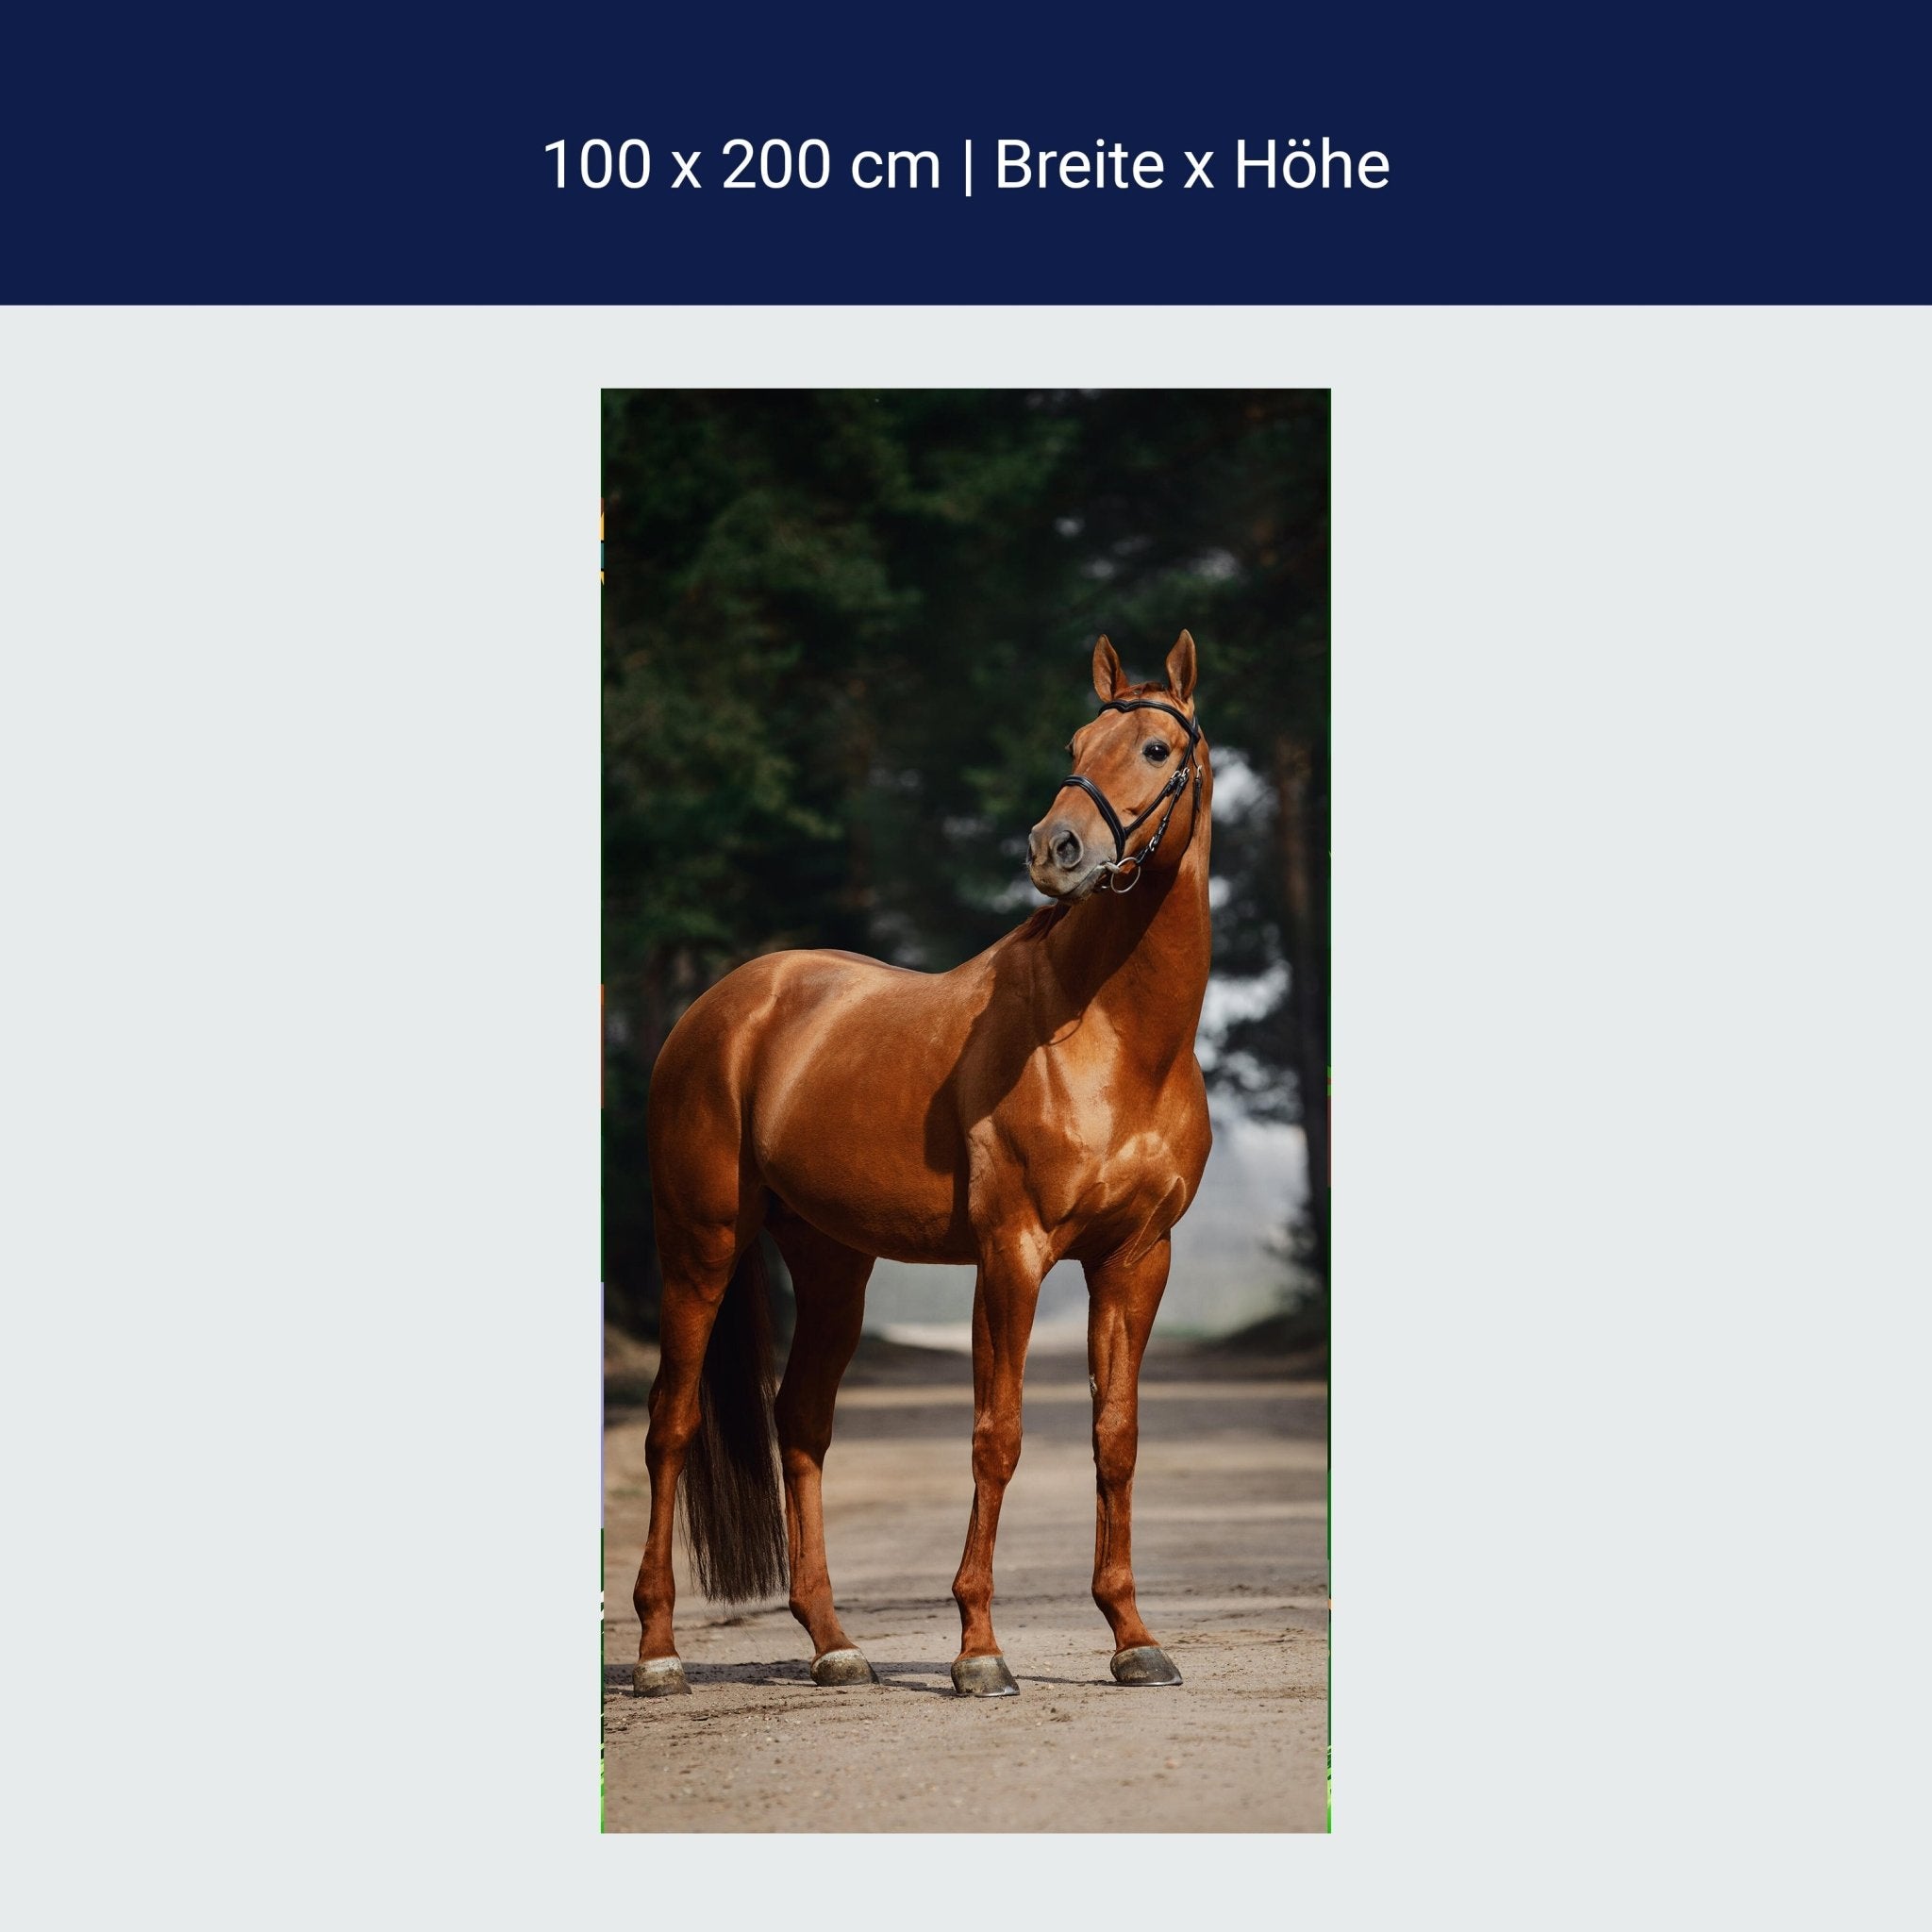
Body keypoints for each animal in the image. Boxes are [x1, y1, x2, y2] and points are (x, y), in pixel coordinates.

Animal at [631, 631, 1214, 1699]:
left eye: (1157, 748)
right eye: (1076, 742)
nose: (1055, 849)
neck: (1111, 1036)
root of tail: (723, 1005)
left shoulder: (1135, 1259)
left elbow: (1115, 1436)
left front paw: (1132, 1637)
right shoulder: (1011, 1253)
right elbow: (998, 1435)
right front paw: (979, 1649)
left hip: (830, 1264)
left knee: (800, 1423)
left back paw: (834, 1645)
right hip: (701, 1248)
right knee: (671, 1424)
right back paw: (659, 1653)